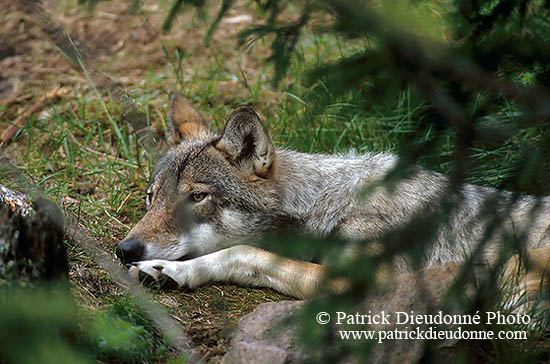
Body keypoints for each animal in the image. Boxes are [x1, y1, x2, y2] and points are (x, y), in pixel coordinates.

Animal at [118, 95, 550, 300]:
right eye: (151, 198)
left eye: (196, 197)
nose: (125, 250)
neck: (330, 203)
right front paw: (169, 271)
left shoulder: (377, 282)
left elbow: (247, 253)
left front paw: (172, 269)